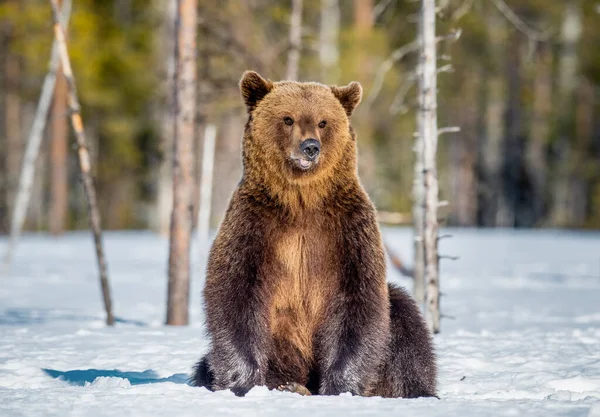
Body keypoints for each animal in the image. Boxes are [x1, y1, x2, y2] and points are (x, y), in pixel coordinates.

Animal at [192, 70, 436, 396]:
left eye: (323, 121)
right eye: (288, 118)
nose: (310, 147)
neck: (301, 201)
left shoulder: (348, 230)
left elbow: (358, 301)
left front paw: (341, 386)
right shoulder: (255, 225)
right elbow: (236, 294)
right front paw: (242, 382)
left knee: (405, 321)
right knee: (204, 366)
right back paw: (288, 384)